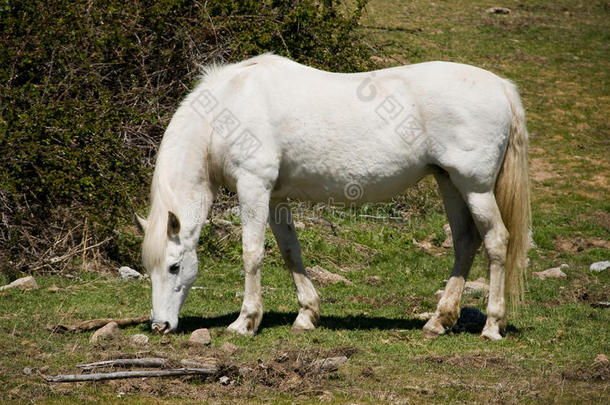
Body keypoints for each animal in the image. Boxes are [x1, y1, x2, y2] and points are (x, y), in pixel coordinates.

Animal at [138, 52, 528, 338]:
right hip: (449, 182)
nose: (160, 325)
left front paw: (245, 322)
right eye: (150, 267)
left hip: (475, 187)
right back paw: (439, 321)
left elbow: (252, 254)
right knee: (464, 242)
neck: (229, 107)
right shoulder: (275, 196)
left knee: (496, 241)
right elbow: (290, 251)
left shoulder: (254, 187)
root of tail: (500, 86)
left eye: (175, 266)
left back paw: (492, 326)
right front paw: (307, 315)